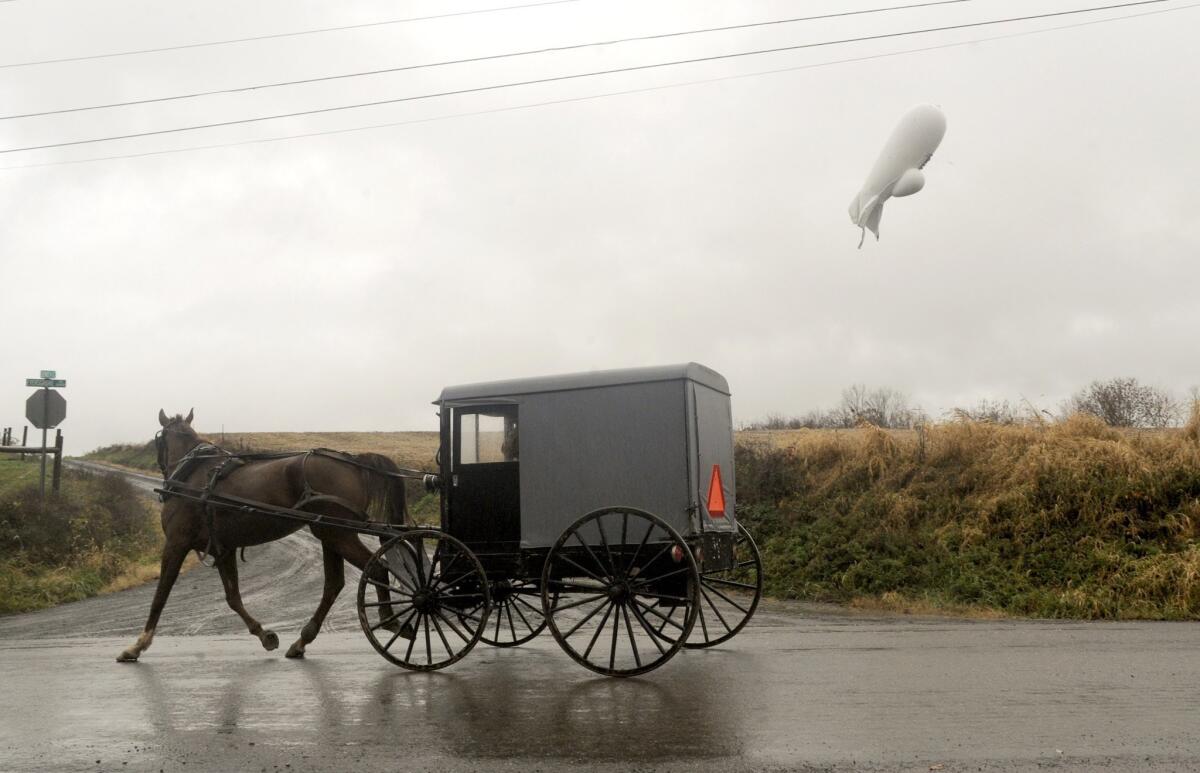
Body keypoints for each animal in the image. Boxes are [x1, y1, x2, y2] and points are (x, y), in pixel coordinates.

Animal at [117, 410, 408, 662]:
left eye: (159, 440)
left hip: (339, 534)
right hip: (330, 534)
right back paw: (303, 640)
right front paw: (264, 635)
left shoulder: (176, 543)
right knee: (333, 584)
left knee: (377, 569)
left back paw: (391, 620)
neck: (192, 477)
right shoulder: (223, 548)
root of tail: (353, 461)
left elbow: (160, 595)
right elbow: (233, 597)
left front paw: (137, 645)